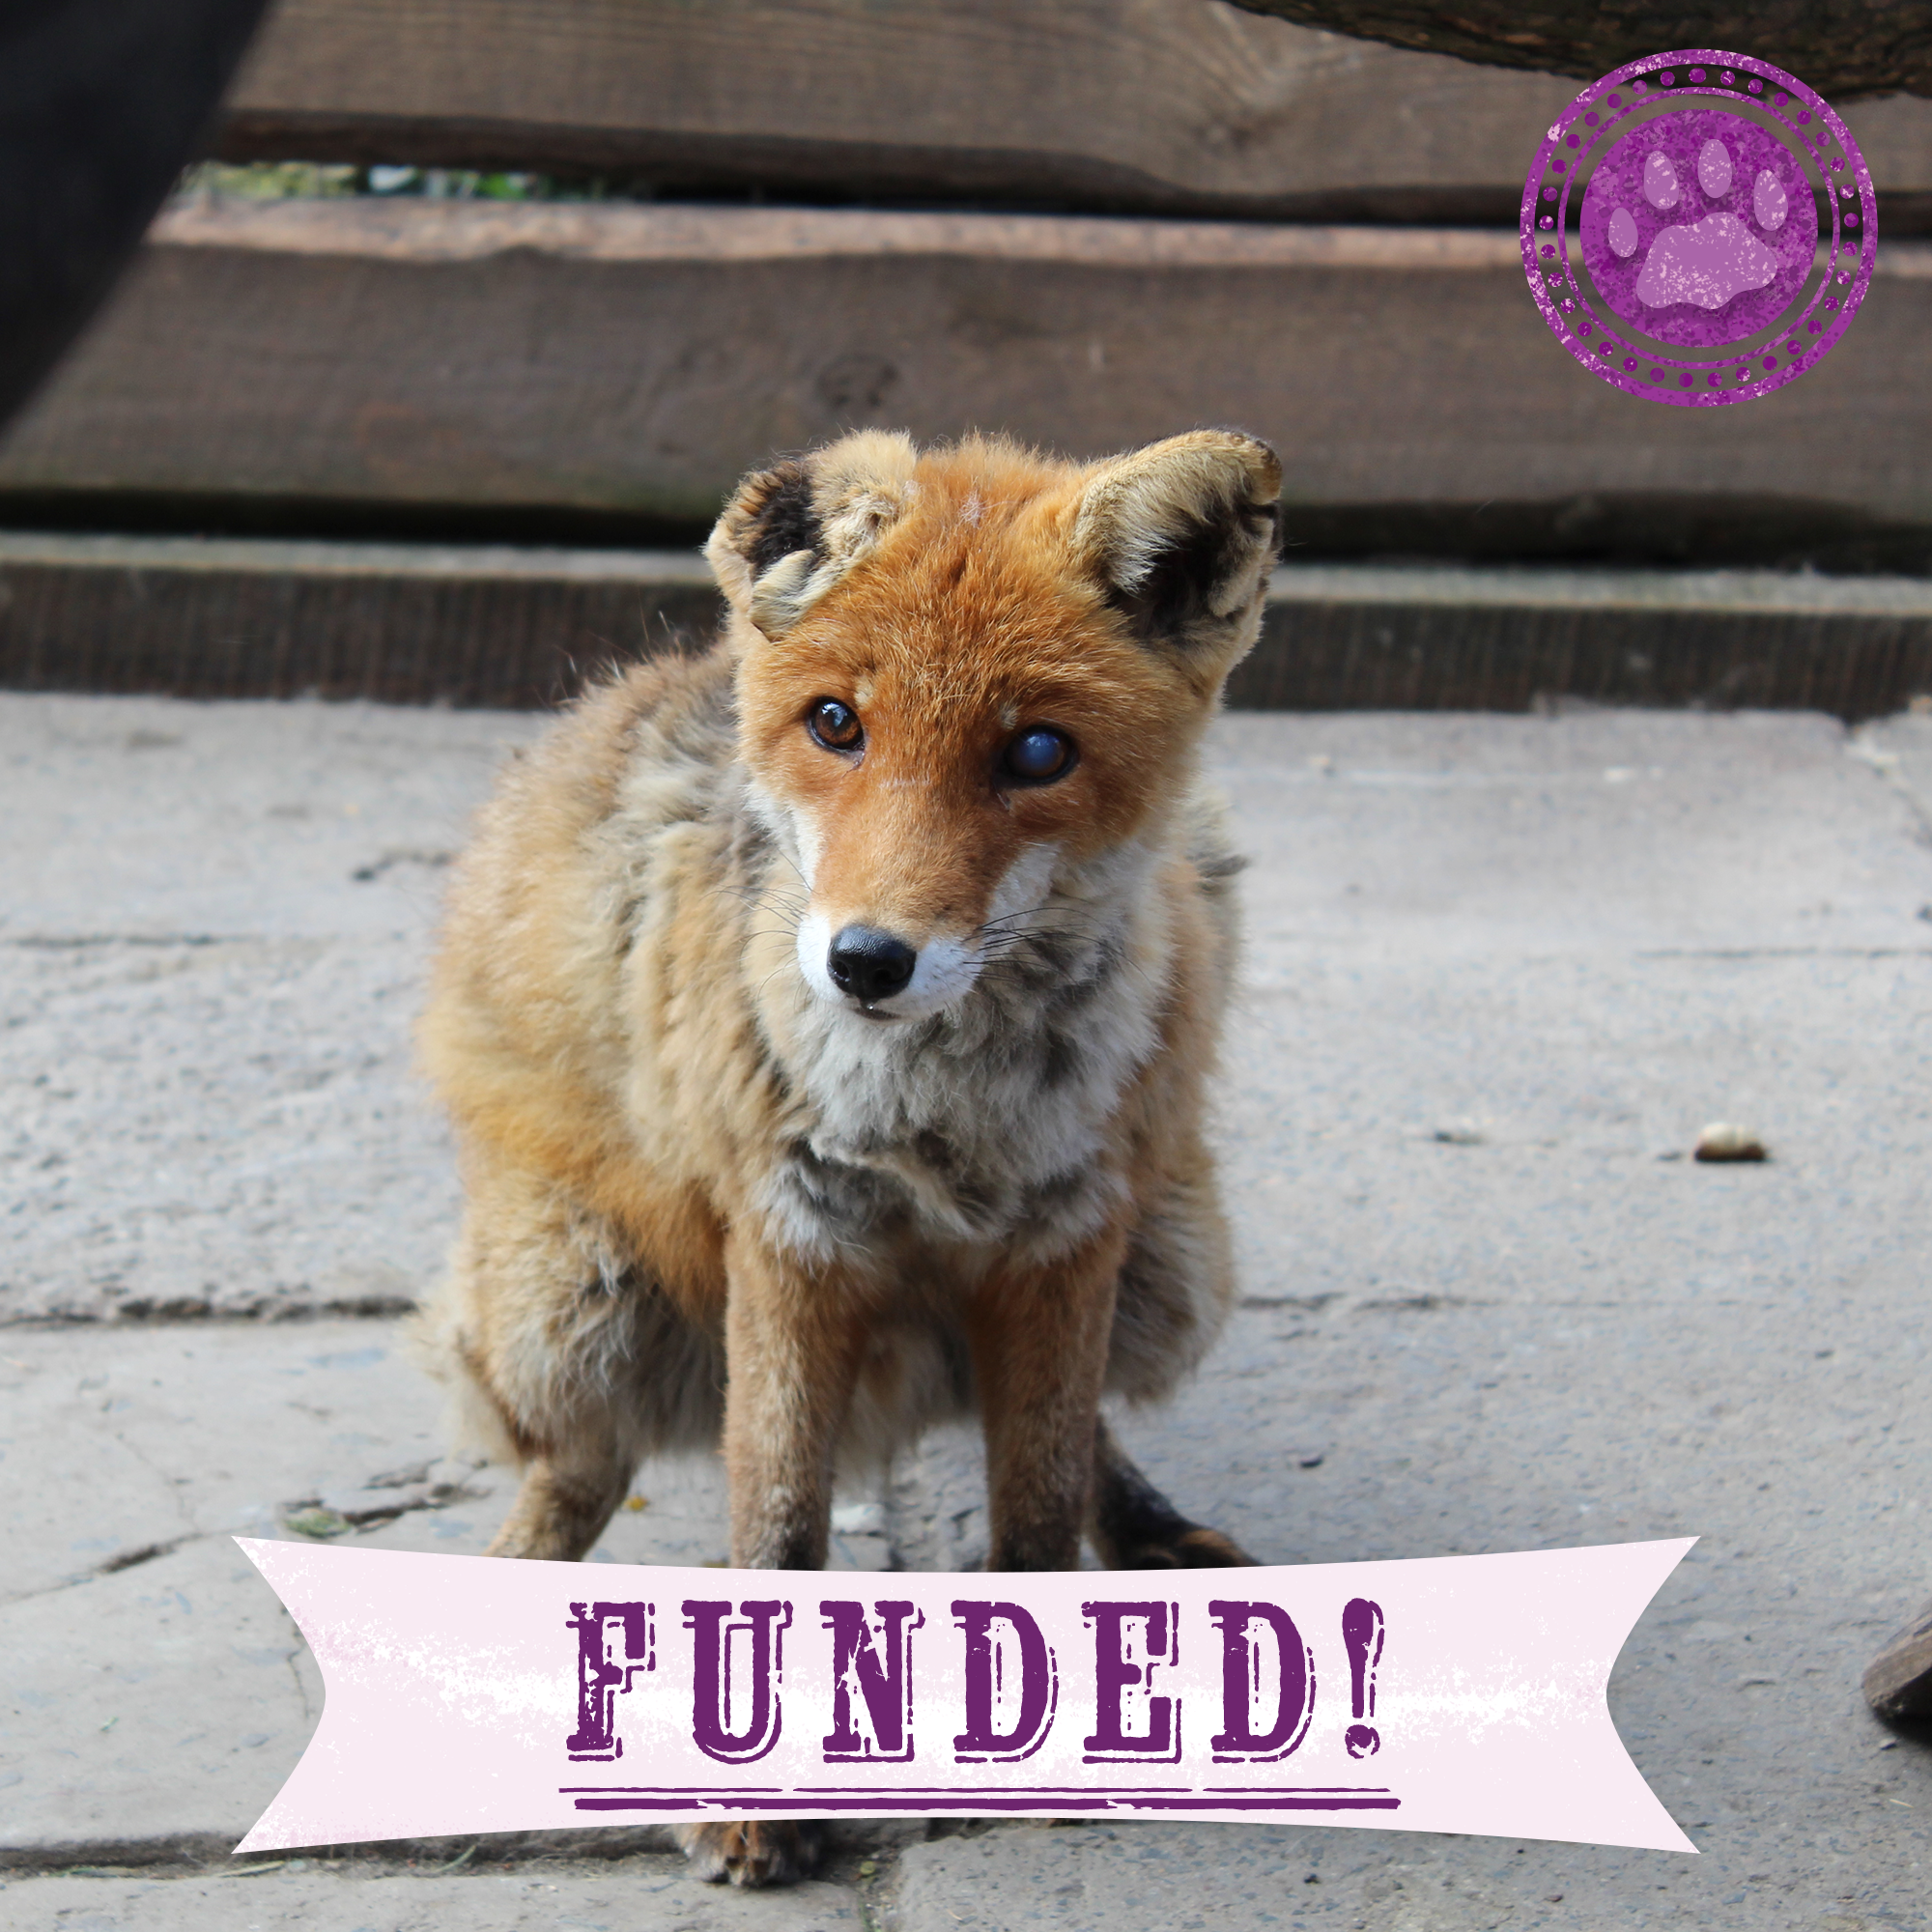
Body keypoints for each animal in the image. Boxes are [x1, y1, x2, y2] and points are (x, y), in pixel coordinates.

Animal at [413, 426, 1282, 1886]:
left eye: (1037, 749)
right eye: (835, 724)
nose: (867, 962)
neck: (942, 1125)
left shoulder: (1069, 1232)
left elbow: (1039, 1501)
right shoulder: (788, 1233)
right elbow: (774, 1520)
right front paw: (757, 1796)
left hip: (1178, 1262)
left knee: (1075, 1427)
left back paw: (1150, 1529)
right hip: (572, 1299)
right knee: (578, 1466)